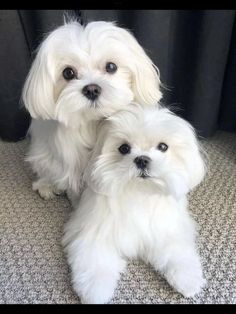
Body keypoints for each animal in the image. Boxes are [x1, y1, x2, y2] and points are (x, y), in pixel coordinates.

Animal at [62, 105, 206, 304]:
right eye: (124, 148)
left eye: (163, 147)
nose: (142, 159)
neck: (139, 192)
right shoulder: (95, 234)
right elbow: (95, 262)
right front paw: (95, 292)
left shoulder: (167, 230)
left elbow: (178, 253)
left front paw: (188, 281)